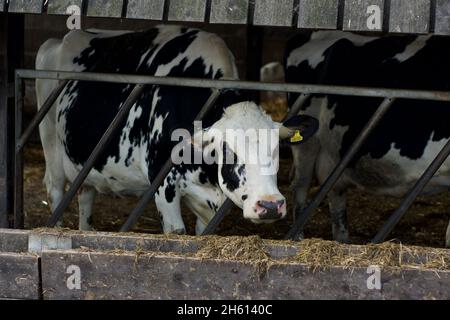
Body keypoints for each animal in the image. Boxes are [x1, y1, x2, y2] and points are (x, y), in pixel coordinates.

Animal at [36, 26, 316, 234]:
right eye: (229, 151)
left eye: (277, 149)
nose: (270, 205)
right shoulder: (163, 185)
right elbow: (176, 232)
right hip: (51, 144)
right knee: (55, 189)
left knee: (85, 193)